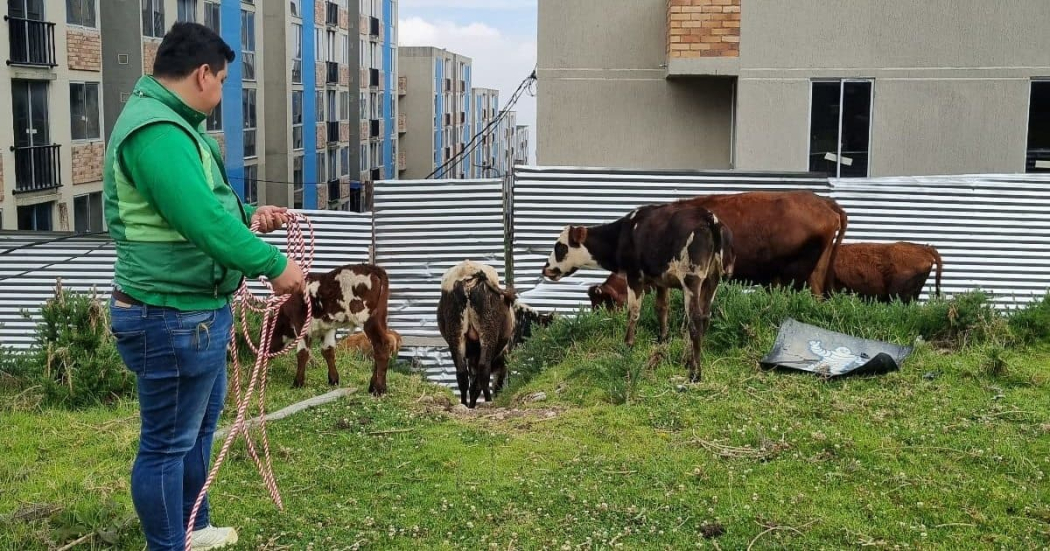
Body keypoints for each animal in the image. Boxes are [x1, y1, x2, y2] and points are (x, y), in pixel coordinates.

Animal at [270, 263, 394, 394]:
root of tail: (373, 268)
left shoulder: (302, 325)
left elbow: (302, 354)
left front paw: (297, 383)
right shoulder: (327, 328)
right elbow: (328, 351)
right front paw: (333, 380)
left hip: (367, 318)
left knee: (381, 346)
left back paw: (379, 389)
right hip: (380, 318)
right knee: (377, 348)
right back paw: (372, 386)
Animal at [436, 260, 558, 405]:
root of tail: (470, 271)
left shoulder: (472, 359)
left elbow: (474, 386)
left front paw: (472, 404)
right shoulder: (504, 359)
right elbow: (496, 386)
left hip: (455, 334)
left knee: (462, 374)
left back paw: (465, 404)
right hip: (488, 333)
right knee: (484, 369)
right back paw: (488, 401)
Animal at [546, 197, 734, 382]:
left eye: (560, 247)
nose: (545, 268)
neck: (622, 234)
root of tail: (710, 219)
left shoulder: (634, 276)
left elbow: (633, 311)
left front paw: (627, 345)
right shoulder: (661, 280)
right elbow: (662, 308)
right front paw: (662, 340)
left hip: (691, 278)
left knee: (694, 319)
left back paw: (695, 373)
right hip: (712, 278)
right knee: (705, 316)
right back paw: (688, 361)